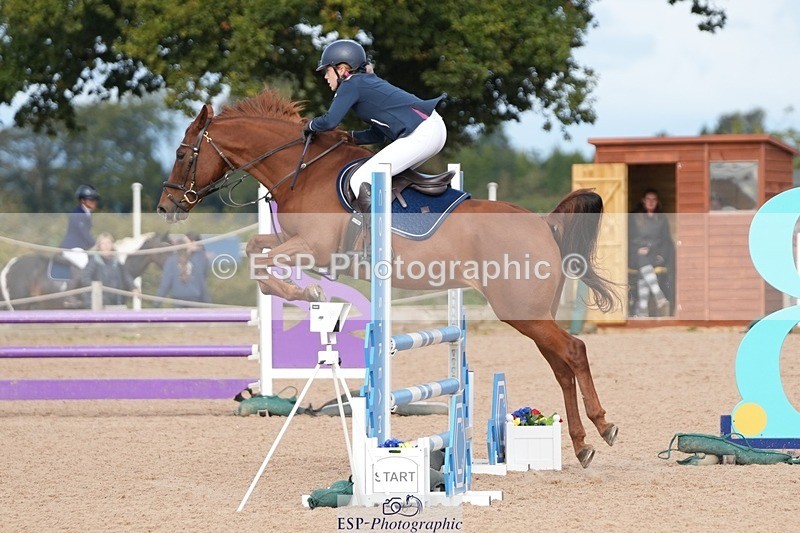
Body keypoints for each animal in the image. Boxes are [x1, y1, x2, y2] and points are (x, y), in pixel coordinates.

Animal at [156, 89, 620, 468]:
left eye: (180, 153)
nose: (166, 207)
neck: (301, 170)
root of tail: (544, 224)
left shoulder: (315, 247)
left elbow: (265, 266)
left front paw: (308, 289)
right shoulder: (291, 241)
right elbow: (256, 252)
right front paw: (306, 291)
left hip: (523, 313)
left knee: (574, 351)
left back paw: (603, 426)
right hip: (531, 315)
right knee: (561, 366)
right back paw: (582, 445)